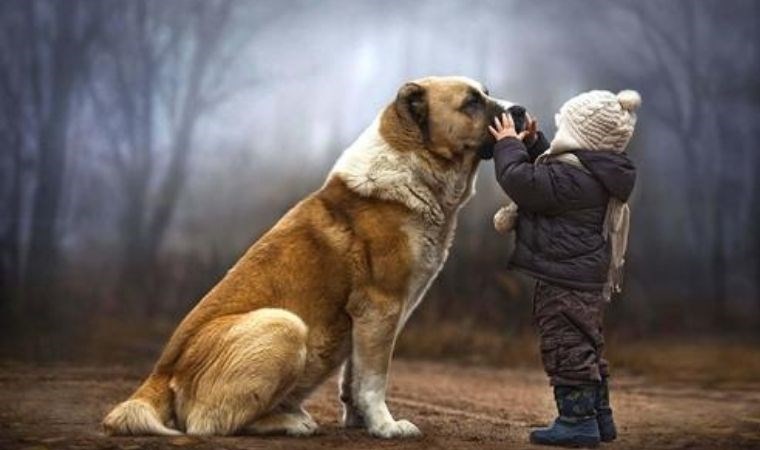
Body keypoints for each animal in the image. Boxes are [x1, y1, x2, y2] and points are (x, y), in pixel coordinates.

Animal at [101, 75, 504, 438]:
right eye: (471, 102)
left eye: (485, 93)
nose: (516, 110)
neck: (414, 167)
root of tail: (160, 373)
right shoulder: (381, 308)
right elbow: (373, 380)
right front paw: (386, 427)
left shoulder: (366, 320)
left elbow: (353, 378)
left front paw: (360, 422)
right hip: (284, 325)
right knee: (209, 424)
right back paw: (292, 422)